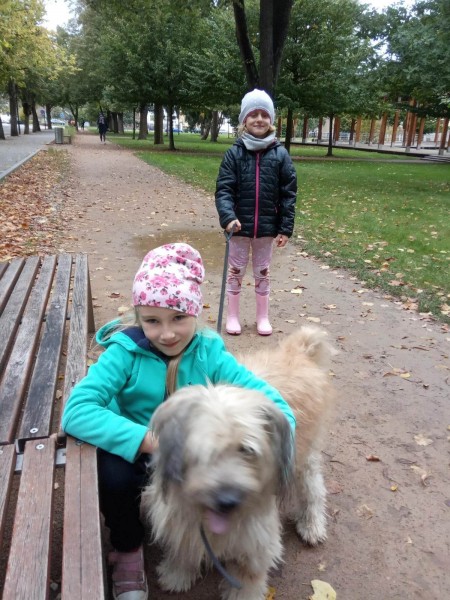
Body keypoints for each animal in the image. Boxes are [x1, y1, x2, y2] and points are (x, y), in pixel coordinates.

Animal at [141, 326, 336, 600]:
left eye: (247, 450)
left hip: (303, 459)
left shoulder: (257, 539)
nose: (227, 500)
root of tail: (298, 350)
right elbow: (184, 548)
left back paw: (312, 525)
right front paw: (177, 574)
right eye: (204, 451)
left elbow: (247, 577)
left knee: (313, 489)